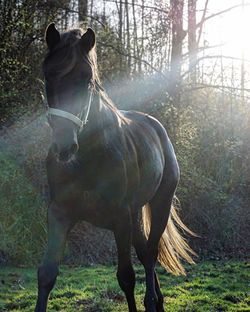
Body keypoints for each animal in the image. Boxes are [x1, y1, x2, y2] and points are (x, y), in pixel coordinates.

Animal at [35, 23, 195, 310]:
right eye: (48, 75)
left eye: (86, 79)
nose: (65, 146)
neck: (88, 157)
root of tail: (157, 127)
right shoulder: (60, 213)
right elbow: (47, 274)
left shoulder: (120, 216)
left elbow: (126, 277)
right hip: (135, 215)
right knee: (144, 253)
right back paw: (158, 301)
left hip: (160, 204)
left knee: (150, 254)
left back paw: (152, 301)